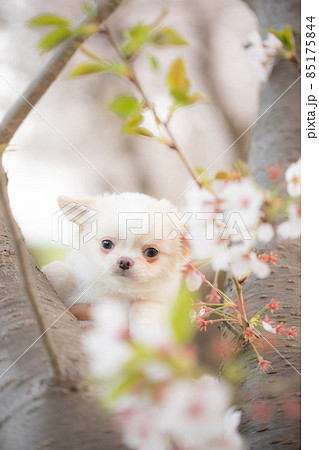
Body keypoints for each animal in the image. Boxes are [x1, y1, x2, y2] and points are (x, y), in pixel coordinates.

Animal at [43, 192, 191, 336]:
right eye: (106, 244)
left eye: (151, 252)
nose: (124, 261)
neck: (116, 290)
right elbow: (60, 271)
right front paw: (51, 274)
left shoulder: (159, 300)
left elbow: (146, 305)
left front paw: (145, 329)